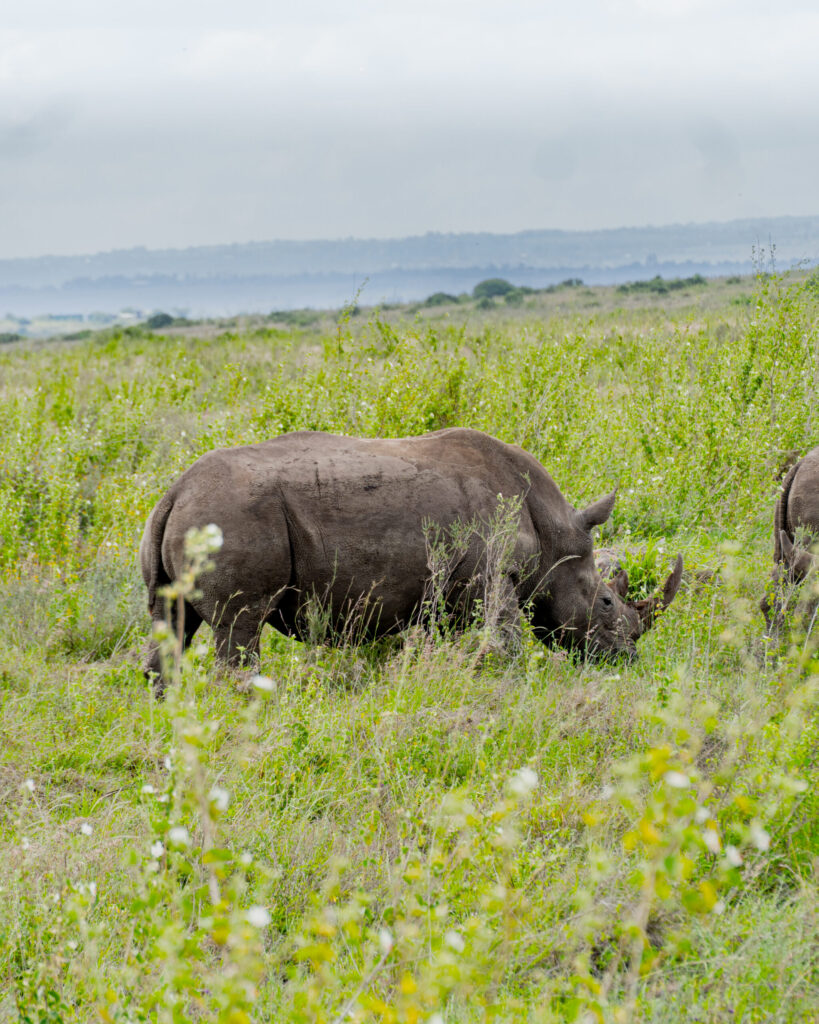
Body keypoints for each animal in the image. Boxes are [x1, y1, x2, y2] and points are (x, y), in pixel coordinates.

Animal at [140, 428, 683, 691]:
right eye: (607, 602)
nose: (628, 657)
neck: (553, 531)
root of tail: (174, 492)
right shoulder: (493, 574)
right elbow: (506, 643)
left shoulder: (445, 592)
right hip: (231, 517)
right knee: (239, 628)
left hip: (191, 520)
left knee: (170, 623)